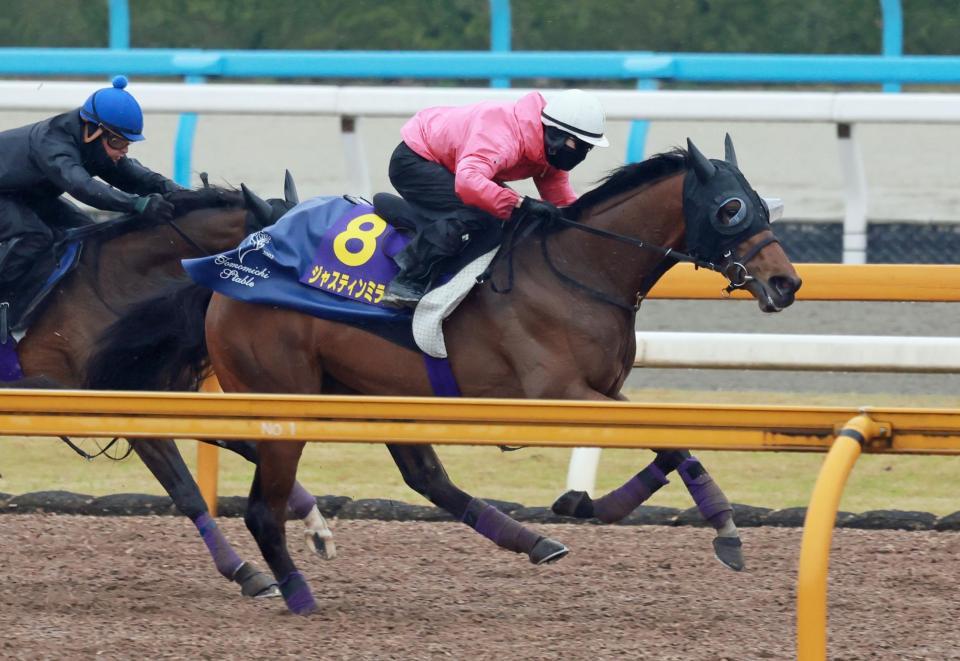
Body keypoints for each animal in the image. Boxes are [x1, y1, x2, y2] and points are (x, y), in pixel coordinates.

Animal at [5, 179, 336, 600]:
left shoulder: (161, 395)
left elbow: (251, 447)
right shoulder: (123, 407)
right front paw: (246, 572)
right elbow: (186, 491)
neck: (114, 287)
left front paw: (316, 525)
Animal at [84, 137, 804, 616]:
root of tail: (225, 273)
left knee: (423, 477)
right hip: (286, 397)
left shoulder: (599, 390)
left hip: (376, 392)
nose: (786, 283)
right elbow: (665, 440)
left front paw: (600, 506)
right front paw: (724, 531)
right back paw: (296, 591)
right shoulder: (556, 392)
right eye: (732, 208)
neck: (578, 268)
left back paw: (532, 540)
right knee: (265, 505)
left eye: (764, 203)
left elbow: (669, 444)